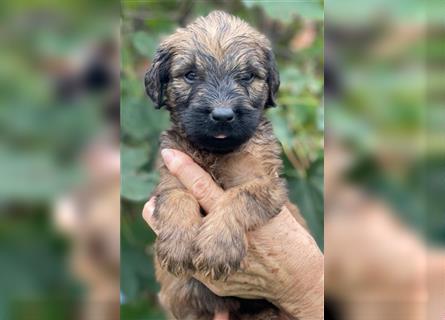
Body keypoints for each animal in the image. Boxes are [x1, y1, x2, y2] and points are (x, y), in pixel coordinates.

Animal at [146, 10, 302, 320]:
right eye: (190, 75)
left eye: (247, 76)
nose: (222, 115)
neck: (216, 152)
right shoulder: (171, 174)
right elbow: (178, 198)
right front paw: (178, 245)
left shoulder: (267, 182)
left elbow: (238, 198)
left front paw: (218, 247)